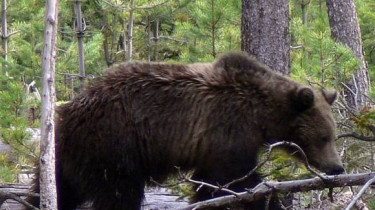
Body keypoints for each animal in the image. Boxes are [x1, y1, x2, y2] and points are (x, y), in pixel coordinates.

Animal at [27, 51, 346, 209]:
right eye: (324, 137)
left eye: (332, 135)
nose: (338, 168)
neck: (261, 115)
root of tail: (68, 112)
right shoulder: (228, 130)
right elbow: (233, 180)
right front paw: (263, 200)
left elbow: (209, 183)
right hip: (112, 145)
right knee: (119, 194)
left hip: (64, 158)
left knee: (55, 189)